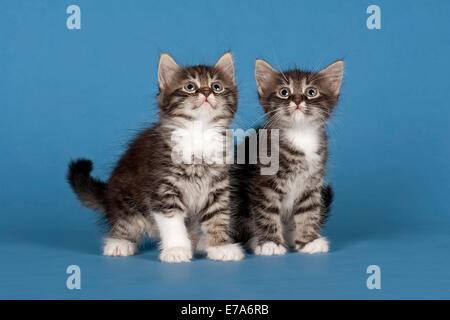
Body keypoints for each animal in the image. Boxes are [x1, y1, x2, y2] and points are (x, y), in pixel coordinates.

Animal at [67, 52, 244, 262]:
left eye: (217, 86)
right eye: (190, 87)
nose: (207, 93)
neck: (199, 132)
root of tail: (108, 192)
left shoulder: (217, 188)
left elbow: (218, 218)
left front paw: (220, 246)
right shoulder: (163, 187)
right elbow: (172, 221)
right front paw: (176, 249)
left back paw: (197, 240)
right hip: (126, 199)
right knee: (123, 223)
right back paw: (119, 243)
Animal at [234, 59, 342, 255]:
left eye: (311, 92)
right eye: (284, 92)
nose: (297, 100)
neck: (300, 135)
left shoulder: (312, 184)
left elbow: (309, 211)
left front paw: (308, 240)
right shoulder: (264, 183)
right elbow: (266, 212)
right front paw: (270, 243)